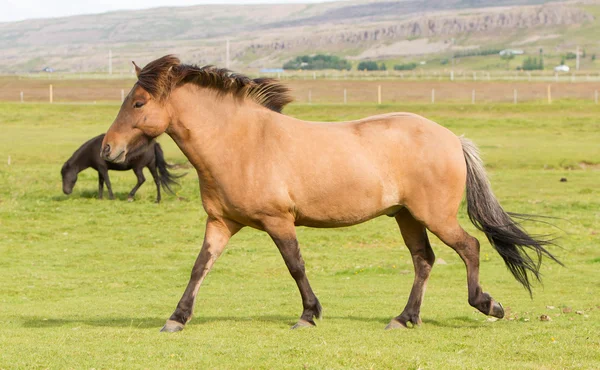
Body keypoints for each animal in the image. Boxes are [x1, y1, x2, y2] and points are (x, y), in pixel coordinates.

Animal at [99, 55, 564, 332]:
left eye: (138, 103)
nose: (107, 150)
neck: (242, 142)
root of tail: (452, 138)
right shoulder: (221, 223)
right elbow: (200, 268)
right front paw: (176, 319)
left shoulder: (278, 221)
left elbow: (295, 266)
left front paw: (308, 315)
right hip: (406, 216)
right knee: (424, 261)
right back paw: (404, 318)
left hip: (435, 215)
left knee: (469, 247)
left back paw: (487, 304)